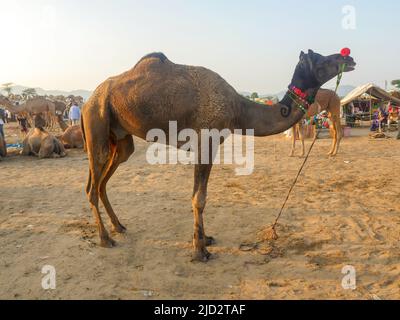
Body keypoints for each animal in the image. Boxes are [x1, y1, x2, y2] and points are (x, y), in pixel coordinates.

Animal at [82, 50, 356, 260]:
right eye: (320, 60)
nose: (349, 57)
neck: (238, 108)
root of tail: (88, 101)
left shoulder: (208, 145)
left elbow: (200, 195)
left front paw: (205, 239)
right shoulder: (207, 141)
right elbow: (199, 198)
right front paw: (199, 251)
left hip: (120, 137)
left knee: (103, 181)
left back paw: (119, 226)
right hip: (97, 122)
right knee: (92, 186)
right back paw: (105, 238)